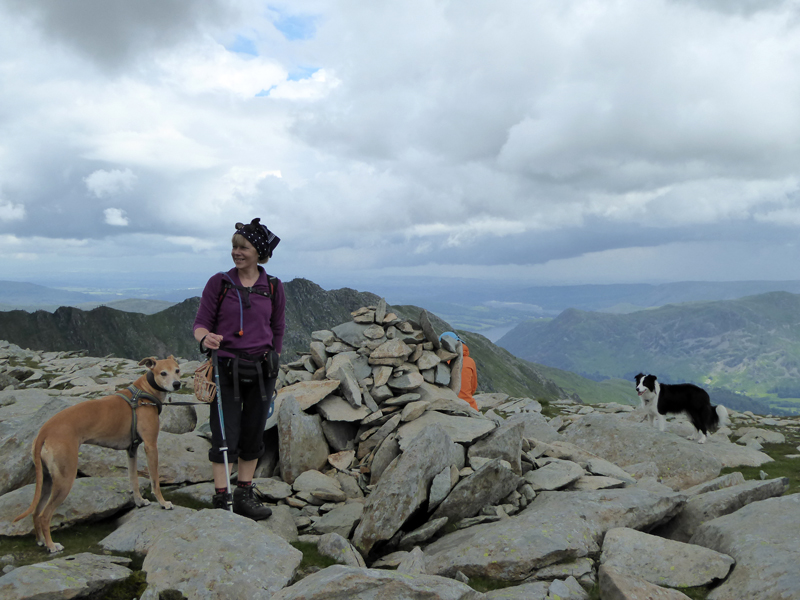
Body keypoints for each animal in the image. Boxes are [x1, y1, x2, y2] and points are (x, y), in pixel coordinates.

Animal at [14, 354, 180, 552]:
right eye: (163, 373)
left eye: (177, 370)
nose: (177, 384)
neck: (144, 393)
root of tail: (44, 431)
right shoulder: (150, 446)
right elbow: (155, 480)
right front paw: (163, 503)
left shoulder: (131, 450)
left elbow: (133, 480)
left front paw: (140, 501)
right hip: (64, 479)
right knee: (45, 515)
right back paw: (52, 545)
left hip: (47, 479)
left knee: (36, 512)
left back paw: (41, 541)